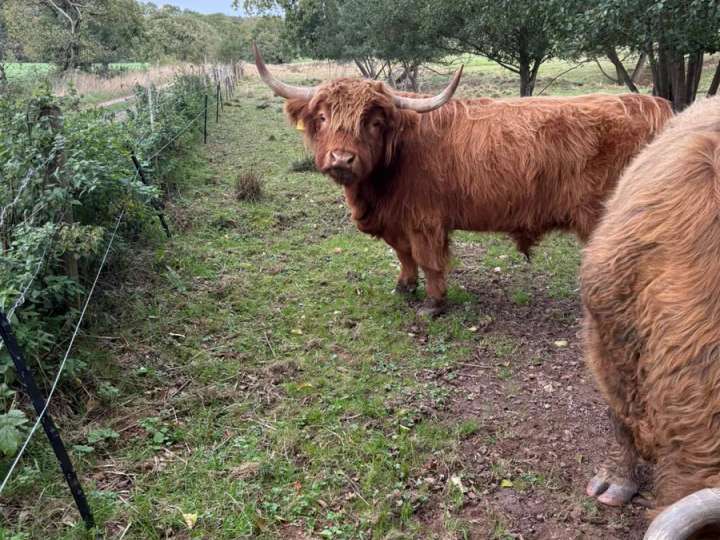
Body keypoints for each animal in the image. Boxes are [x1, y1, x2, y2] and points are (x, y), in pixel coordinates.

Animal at [253, 44, 672, 316]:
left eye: (373, 122)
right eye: (322, 117)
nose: (341, 158)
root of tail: (652, 104)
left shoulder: (425, 220)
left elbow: (428, 260)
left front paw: (434, 305)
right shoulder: (397, 221)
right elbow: (403, 255)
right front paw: (404, 287)